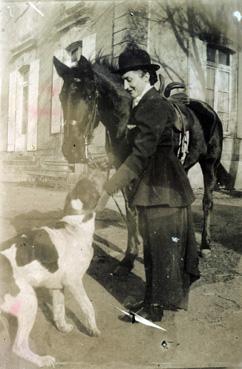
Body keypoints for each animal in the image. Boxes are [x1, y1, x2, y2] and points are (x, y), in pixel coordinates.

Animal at [0, 175, 102, 366]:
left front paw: (63, 328)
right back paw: (42, 360)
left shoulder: (57, 287)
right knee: (19, 347)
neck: (74, 225)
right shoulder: (74, 282)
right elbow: (88, 307)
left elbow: (59, 311)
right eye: (91, 184)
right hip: (29, 301)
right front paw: (93, 329)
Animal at [53, 54, 225, 274]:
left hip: (210, 163)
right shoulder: (122, 170)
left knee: (207, 202)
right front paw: (130, 255)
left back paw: (205, 245)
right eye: (61, 97)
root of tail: (208, 109)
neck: (127, 120)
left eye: (89, 96)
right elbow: (130, 211)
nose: (70, 149)